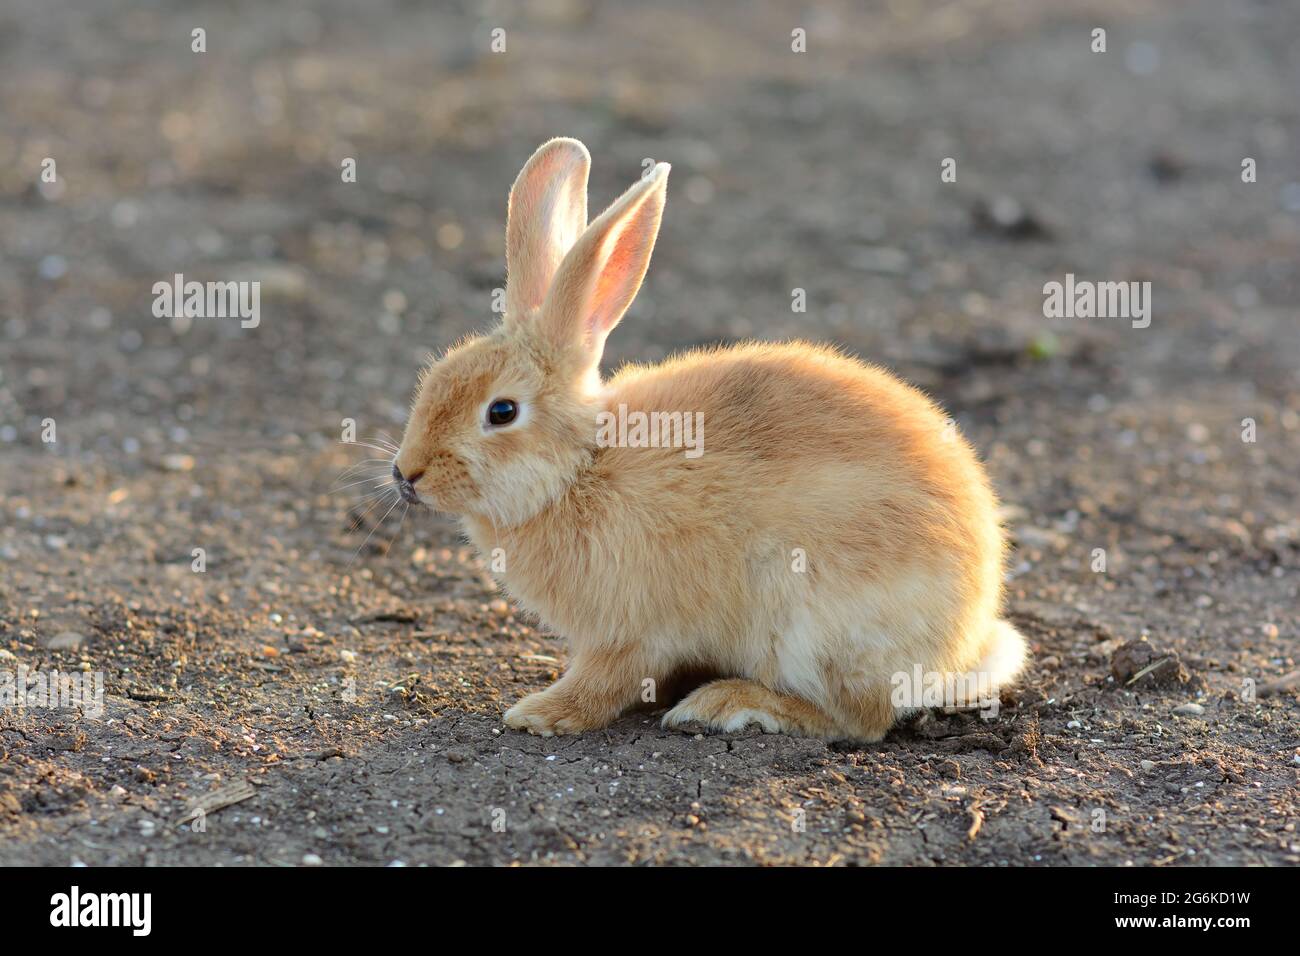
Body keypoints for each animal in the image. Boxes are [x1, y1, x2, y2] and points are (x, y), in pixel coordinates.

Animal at [393, 137, 1028, 742]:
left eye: (501, 412)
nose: (406, 475)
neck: (579, 468)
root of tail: (959, 645)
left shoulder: (631, 631)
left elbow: (605, 680)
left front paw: (542, 714)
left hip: (815, 622)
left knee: (859, 719)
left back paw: (729, 704)